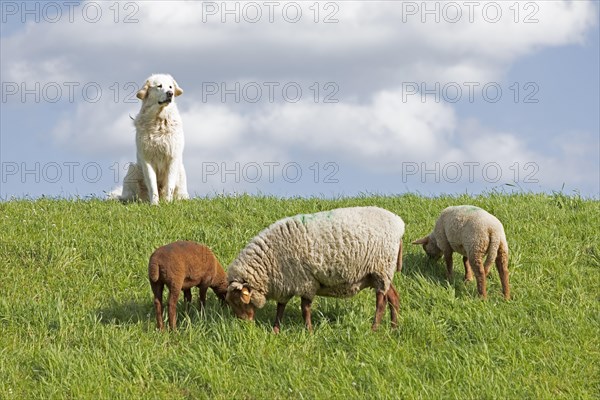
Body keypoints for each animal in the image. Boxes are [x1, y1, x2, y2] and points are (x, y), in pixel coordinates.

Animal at [118, 74, 189, 205]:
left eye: (170, 86)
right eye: (159, 86)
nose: (170, 93)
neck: (160, 119)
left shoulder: (173, 157)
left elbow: (169, 184)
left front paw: (168, 203)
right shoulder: (147, 159)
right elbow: (152, 184)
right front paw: (155, 204)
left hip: (181, 170)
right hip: (133, 169)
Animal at [226, 206, 408, 332]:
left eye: (238, 301)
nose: (244, 325)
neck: (269, 261)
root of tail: (399, 224)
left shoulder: (306, 281)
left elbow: (305, 308)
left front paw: (309, 331)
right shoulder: (285, 282)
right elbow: (280, 307)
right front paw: (275, 330)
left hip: (381, 268)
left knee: (381, 303)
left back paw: (374, 329)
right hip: (379, 273)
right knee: (393, 297)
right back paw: (393, 328)